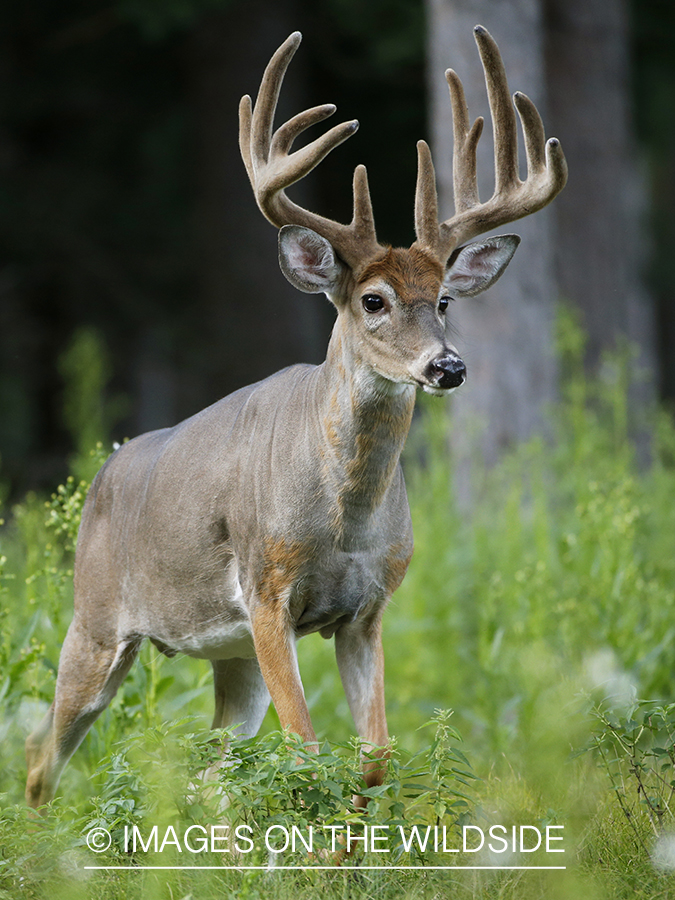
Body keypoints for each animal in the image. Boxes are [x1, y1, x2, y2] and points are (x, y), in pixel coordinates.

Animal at [25, 24, 564, 808]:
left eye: (443, 300)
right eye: (372, 300)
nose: (448, 367)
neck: (344, 522)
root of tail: (103, 473)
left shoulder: (367, 608)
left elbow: (374, 758)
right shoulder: (267, 589)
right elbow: (307, 753)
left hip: (229, 653)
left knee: (208, 769)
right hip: (94, 621)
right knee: (41, 754)